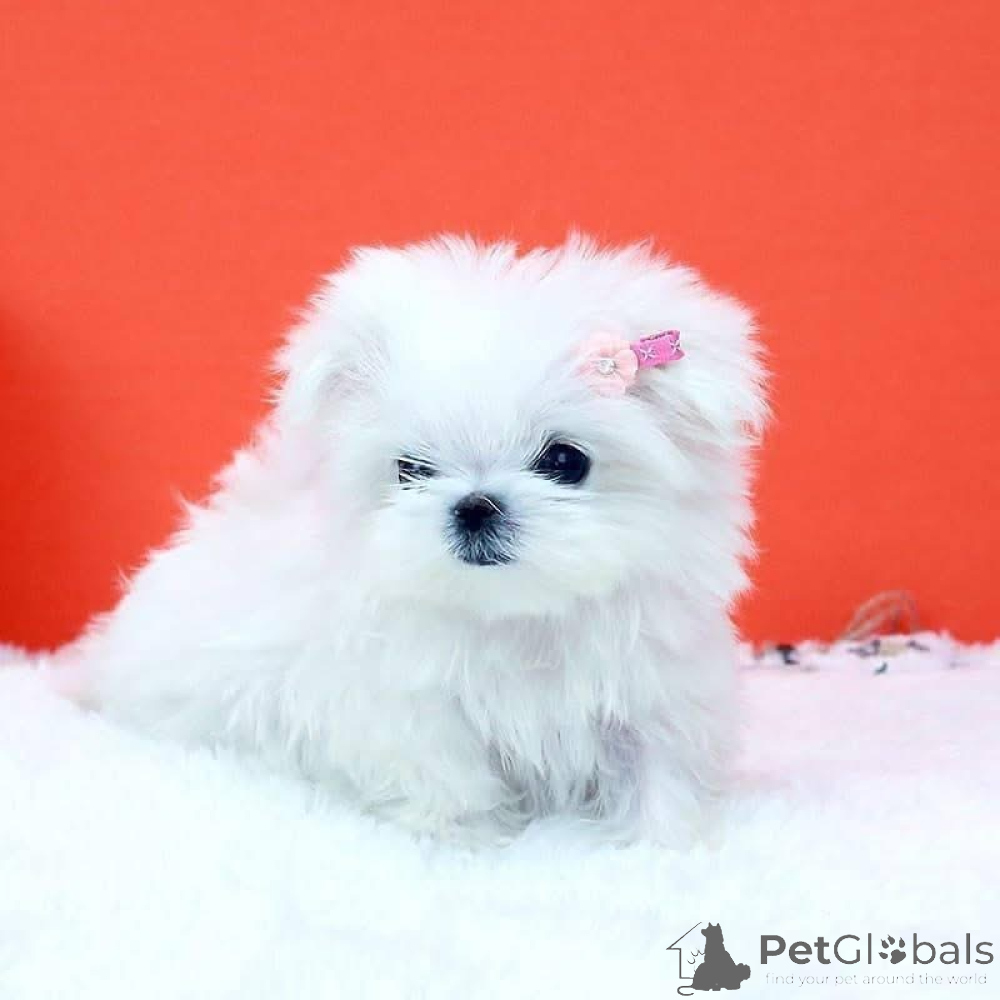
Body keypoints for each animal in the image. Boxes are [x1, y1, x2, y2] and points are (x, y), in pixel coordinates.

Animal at [72, 235, 767, 845]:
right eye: (410, 469)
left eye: (566, 461)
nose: (476, 507)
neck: (517, 617)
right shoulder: (409, 709)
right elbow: (449, 777)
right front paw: (465, 841)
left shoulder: (655, 688)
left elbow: (659, 770)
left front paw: (663, 842)